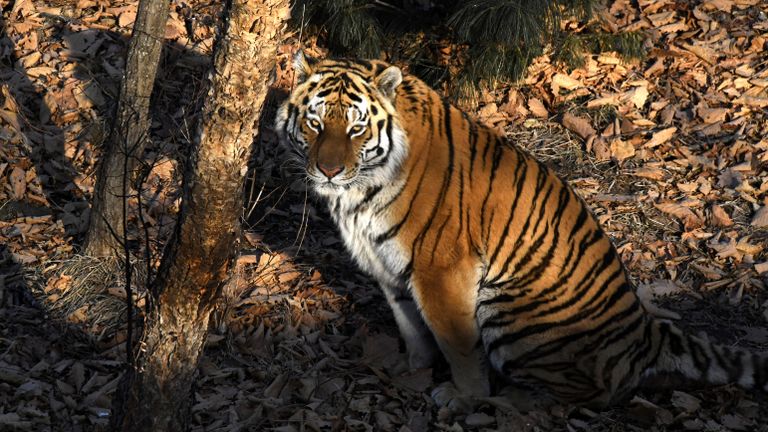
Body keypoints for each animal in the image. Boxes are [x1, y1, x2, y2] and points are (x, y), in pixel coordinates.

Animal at [275, 53, 768, 412]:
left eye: (356, 127)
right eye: (315, 123)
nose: (329, 170)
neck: (360, 192)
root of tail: (644, 335)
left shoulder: (442, 269)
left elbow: (456, 342)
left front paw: (464, 396)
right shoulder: (388, 266)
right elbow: (411, 327)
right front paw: (413, 370)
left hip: (508, 309)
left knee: (593, 395)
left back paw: (506, 402)